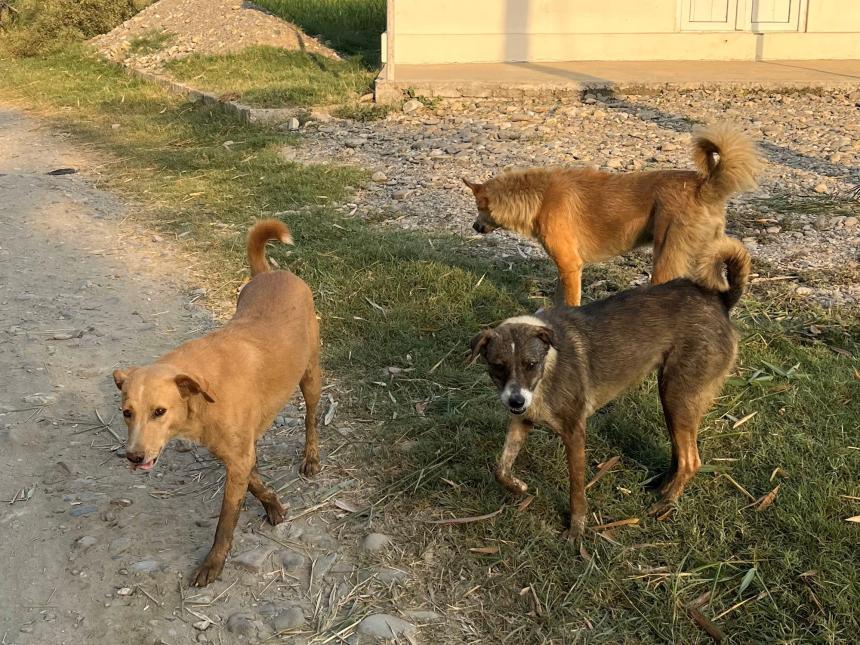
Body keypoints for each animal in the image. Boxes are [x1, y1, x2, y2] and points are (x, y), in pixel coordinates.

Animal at [111, 219, 320, 588]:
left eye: (159, 411)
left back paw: (310, 457)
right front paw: (273, 505)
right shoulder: (235, 453)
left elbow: (225, 520)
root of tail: (270, 273)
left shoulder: (237, 457)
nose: (134, 457)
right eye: (126, 413)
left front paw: (213, 563)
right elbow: (254, 481)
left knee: (311, 417)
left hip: (309, 376)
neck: (202, 391)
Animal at [464, 122, 760, 304]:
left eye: (480, 207)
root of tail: (703, 186)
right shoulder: (565, 268)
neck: (540, 197)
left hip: (667, 260)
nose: (474, 227)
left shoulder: (571, 265)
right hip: (706, 258)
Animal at [466, 236, 748, 540]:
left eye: (531, 364)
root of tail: (721, 301)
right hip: (675, 399)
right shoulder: (521, 422)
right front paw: (519, 487)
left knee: (691, 460)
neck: (548, 368)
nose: (516, 402)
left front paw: (576, 530)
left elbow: (576, 489)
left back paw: (665, 503)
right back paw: (662, 486)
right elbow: (501, 468)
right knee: (681, 449)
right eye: (498, 366)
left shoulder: (574, 433)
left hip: (677, 394)